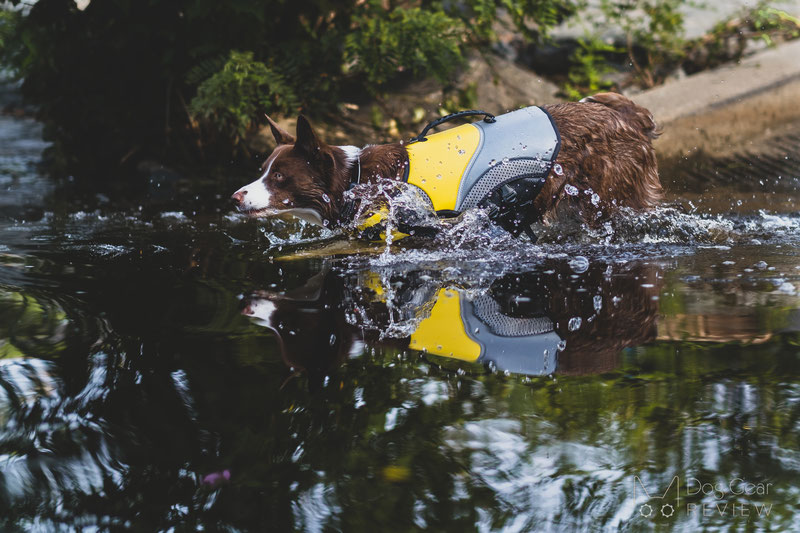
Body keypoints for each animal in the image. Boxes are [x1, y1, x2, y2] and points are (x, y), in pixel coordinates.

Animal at [231, 92, 664, 238]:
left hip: (606, 195)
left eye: (280, 177)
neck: (354, 179)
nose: (235, 196)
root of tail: (627, 114)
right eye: (263, 170)